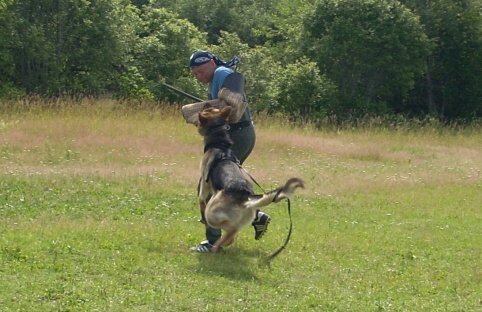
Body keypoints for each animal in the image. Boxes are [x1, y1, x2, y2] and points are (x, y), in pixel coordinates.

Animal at [197, 105, 304, 254]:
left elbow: (201, 199)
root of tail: (245, 198)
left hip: (212, 212)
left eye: (208, 109)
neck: (219, 141)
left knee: (231, 229)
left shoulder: (204, 181)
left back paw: (217, 245)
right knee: (232, 233)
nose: (206, 105)